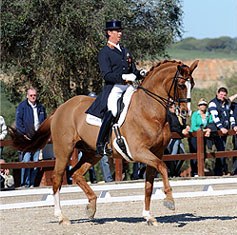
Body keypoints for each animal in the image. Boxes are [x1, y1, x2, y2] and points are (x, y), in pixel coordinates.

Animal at [9, 59, 198, 225]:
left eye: (193, 85)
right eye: (181, 85)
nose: (185, 112)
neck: (148, 109)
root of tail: (60, 109)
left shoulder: (155, 152)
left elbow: (149, 185)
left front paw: (149, 216)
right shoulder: (138, 151)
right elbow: (163, 167)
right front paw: (169, 200)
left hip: (92, 152)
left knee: (76, 174)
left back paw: (91, 206)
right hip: (65, 150)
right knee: (57, 178)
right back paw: (62, 217)